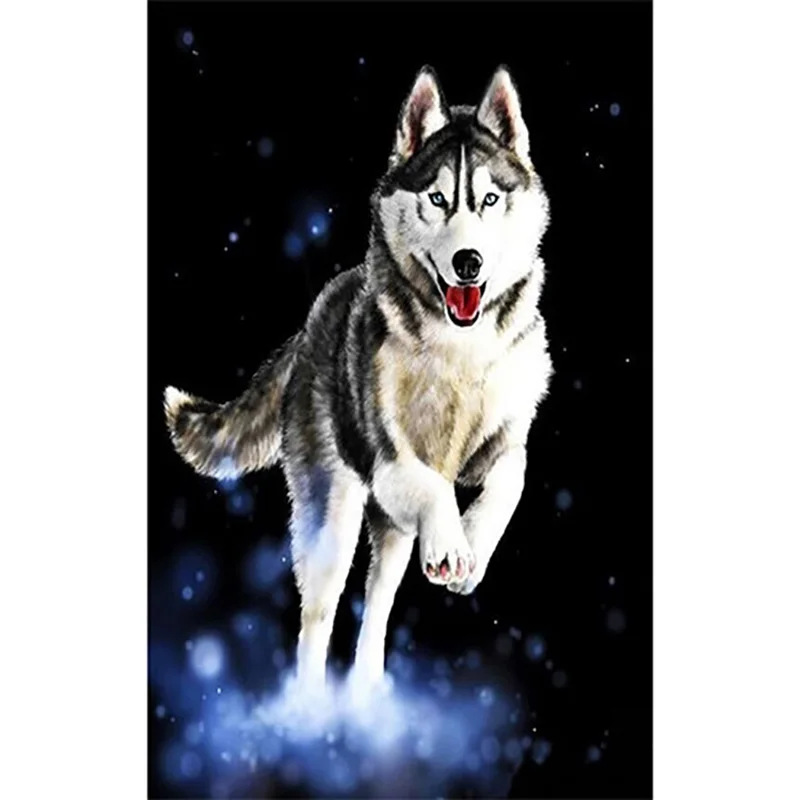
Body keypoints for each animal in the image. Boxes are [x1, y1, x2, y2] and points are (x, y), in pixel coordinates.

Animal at [164, 65, 553, 692]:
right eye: (437, 198)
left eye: (490, 199)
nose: (468, 262)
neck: (458, 350)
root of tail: (313, 321)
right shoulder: (391, 462)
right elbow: (436, 486)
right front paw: (455, 540)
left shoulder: (502, 440)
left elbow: (511, 479)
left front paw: (471, 542)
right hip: (334, 520)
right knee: (316, 620)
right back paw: (312, 705)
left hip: (389, 530)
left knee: (379, 600)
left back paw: (368, 688)